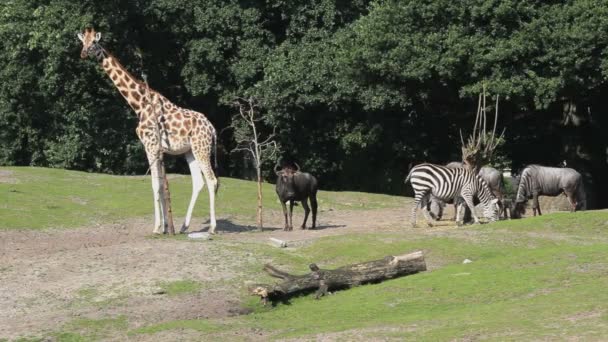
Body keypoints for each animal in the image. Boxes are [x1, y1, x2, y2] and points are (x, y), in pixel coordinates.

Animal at [78, 28, 220, 234]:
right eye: (83, 42)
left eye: (94, 43)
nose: (83, 53)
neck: (139, 104)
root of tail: (212, 128)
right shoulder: (157, 148)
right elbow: (160, 185)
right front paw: (166, 227)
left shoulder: (151, 145)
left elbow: (154, 184)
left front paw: (156, 227)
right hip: (190, 151)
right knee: (198, 182)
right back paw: (184, 226)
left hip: (202, 147)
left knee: (212, 180)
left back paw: (212, 228)